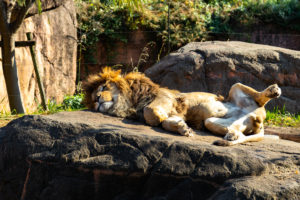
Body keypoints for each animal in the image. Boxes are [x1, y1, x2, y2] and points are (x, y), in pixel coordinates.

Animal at [82, 67, 282, 145]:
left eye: (103, 87)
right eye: (92, 99)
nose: (97, 99)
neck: (129, 104)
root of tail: (256, 118)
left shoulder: (166, 98)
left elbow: (150, 112)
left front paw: (160, 118)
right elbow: (165, 122)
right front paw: (182, 128)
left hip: (236, 87)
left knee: (259, 98)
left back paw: (273, 90)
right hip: (212, 122)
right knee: (240, 132)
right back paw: (232, 135)